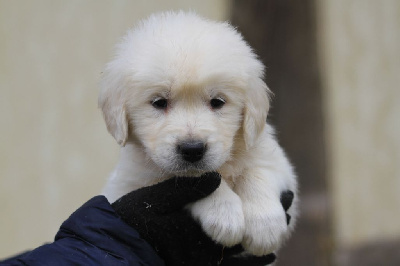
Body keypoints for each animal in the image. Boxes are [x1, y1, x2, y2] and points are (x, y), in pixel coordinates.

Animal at [101, 11, 296, 255]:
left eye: (217, 102)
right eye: (159, 102)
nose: (192, 149)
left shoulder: (278, 163)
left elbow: (257, 171)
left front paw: (265, 227)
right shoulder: (130, 184)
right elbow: (189, 181)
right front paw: (224, 215)